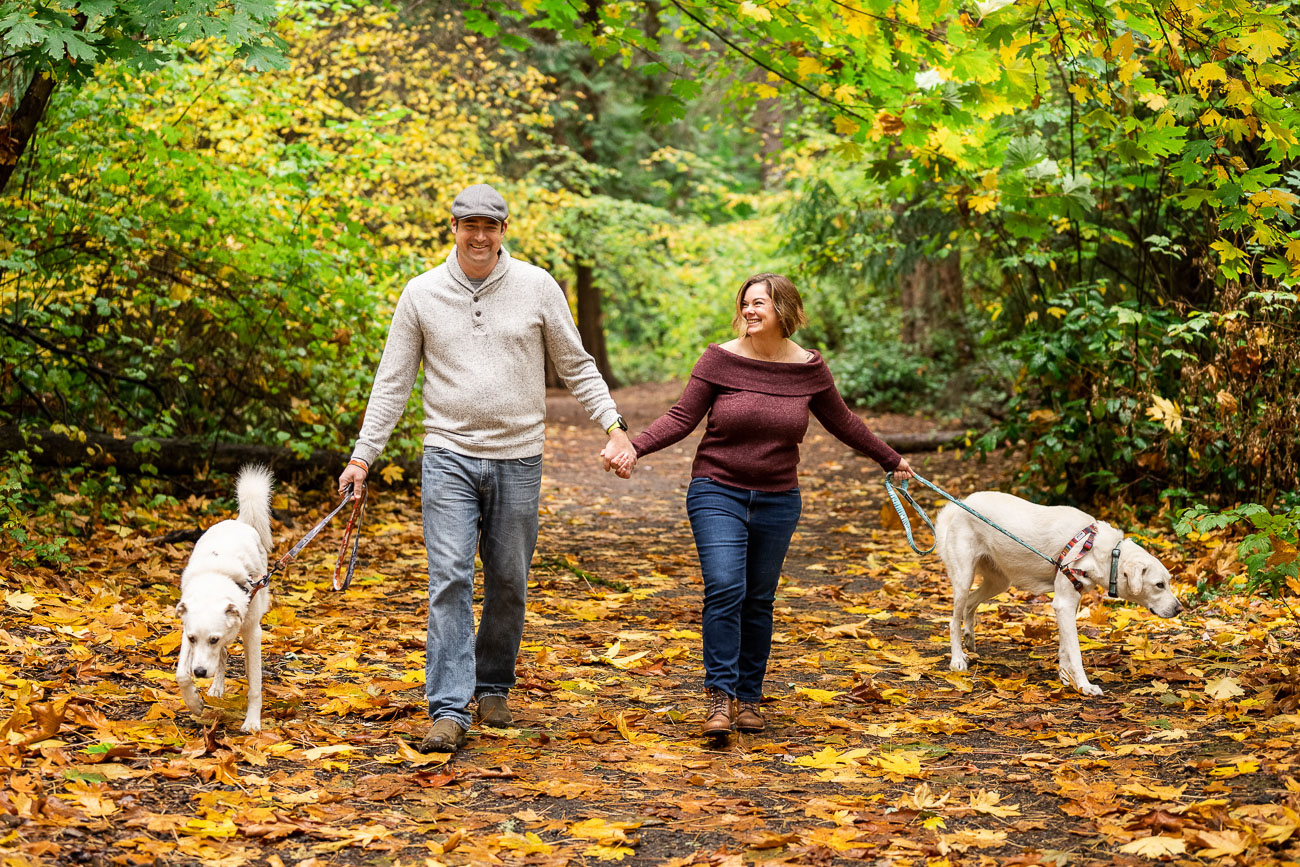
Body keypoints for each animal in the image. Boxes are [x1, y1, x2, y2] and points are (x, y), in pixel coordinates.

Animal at [175, 467, 274, 733]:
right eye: (192, 638)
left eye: (214, 638)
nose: (200, 672)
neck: (215, 579)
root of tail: (238, 522)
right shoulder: (186, 630)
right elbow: (181, 675)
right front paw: (194, 704)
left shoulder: (253, 633)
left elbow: (255, 685)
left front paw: (252, 723)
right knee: (223, 657)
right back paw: (216, 689)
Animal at [935, 491, 1180, 696]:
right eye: (1159, 585)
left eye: (1168, 582)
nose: (1179, 608)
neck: (1103, 551)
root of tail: (961, 505)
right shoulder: (1064, 604)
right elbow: (1075, 651)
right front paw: (1084, 685)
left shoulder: (1069, 604)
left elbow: (1065, 648)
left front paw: (1066, 677)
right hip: (964, 577)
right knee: (953, 620)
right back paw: (957, 659)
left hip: (999, 582)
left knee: (970, 604)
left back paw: (969, 639)